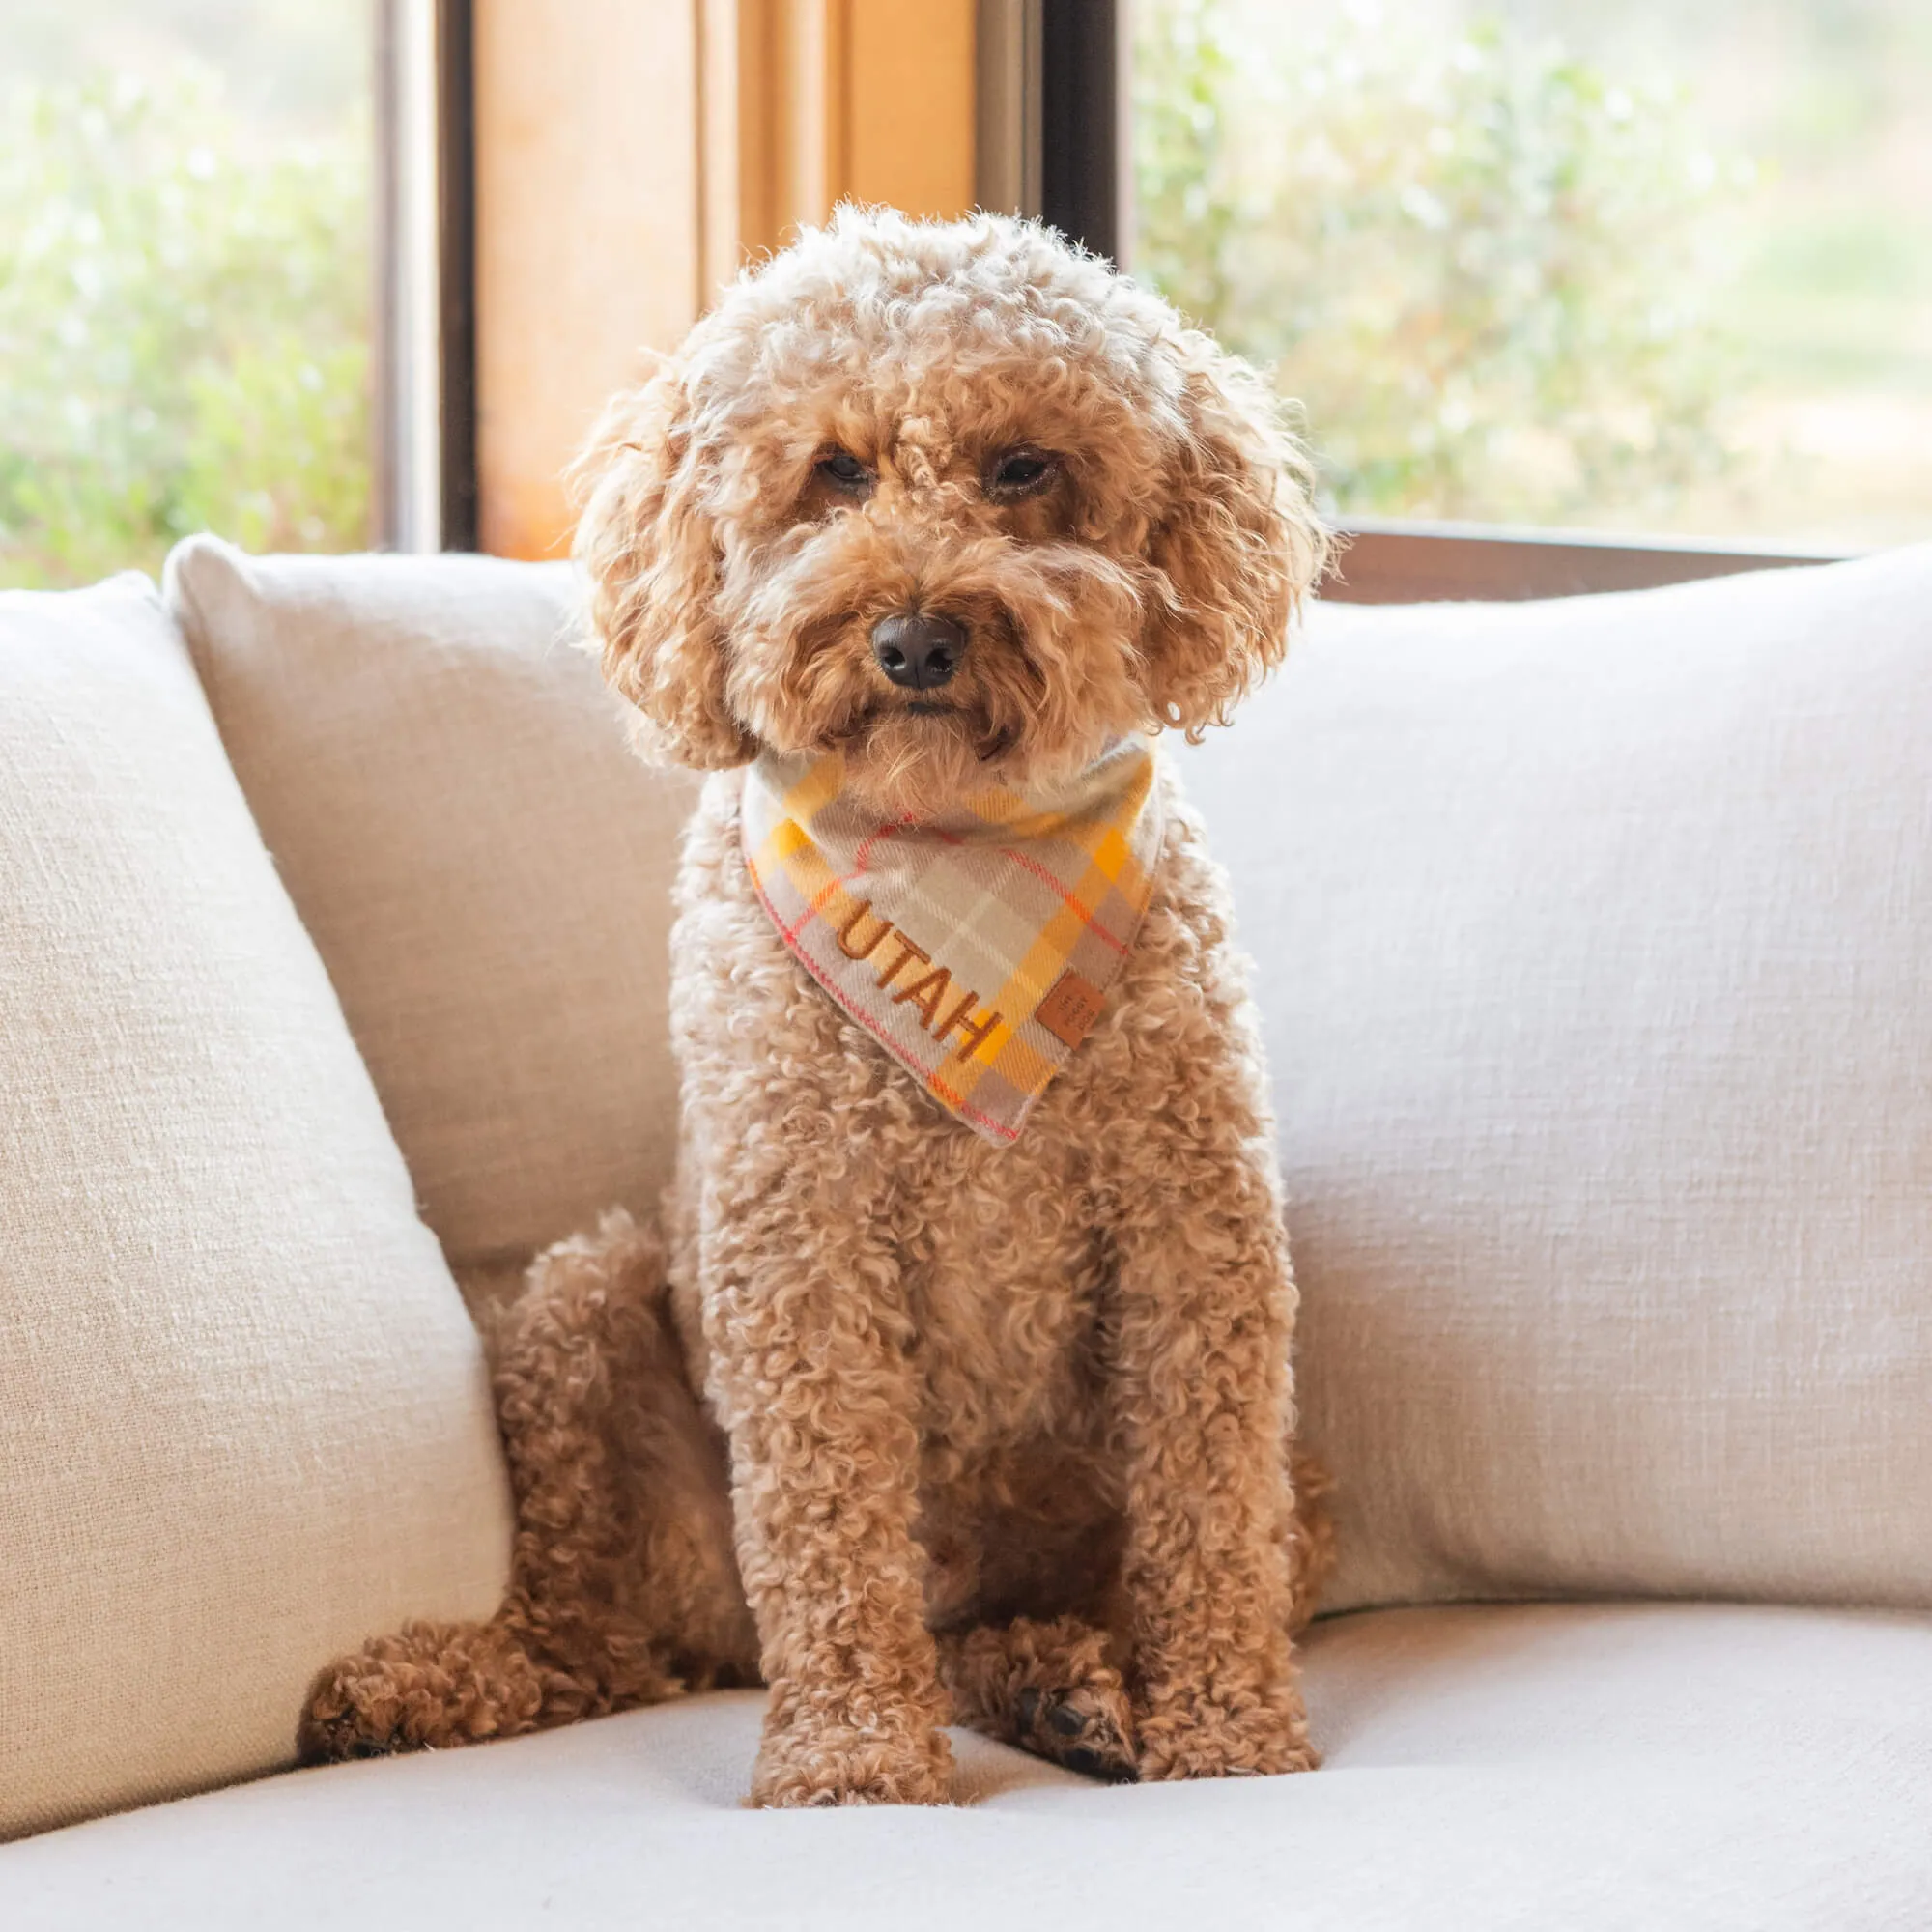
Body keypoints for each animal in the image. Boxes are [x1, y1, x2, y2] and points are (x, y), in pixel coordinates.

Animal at [298, 212, 1329, 1808]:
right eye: (834, 471)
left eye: (1022, 466)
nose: (913, 638)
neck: (948, 855)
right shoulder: (804, 1233)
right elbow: (831, 1519)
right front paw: (851, 1758)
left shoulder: (1192, 1228)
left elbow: (1212, 1506)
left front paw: (1230, 1738)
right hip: (586, 1302)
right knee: (583, 1643)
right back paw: (428, 1684)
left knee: (987, 1629)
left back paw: (1072, 1690)